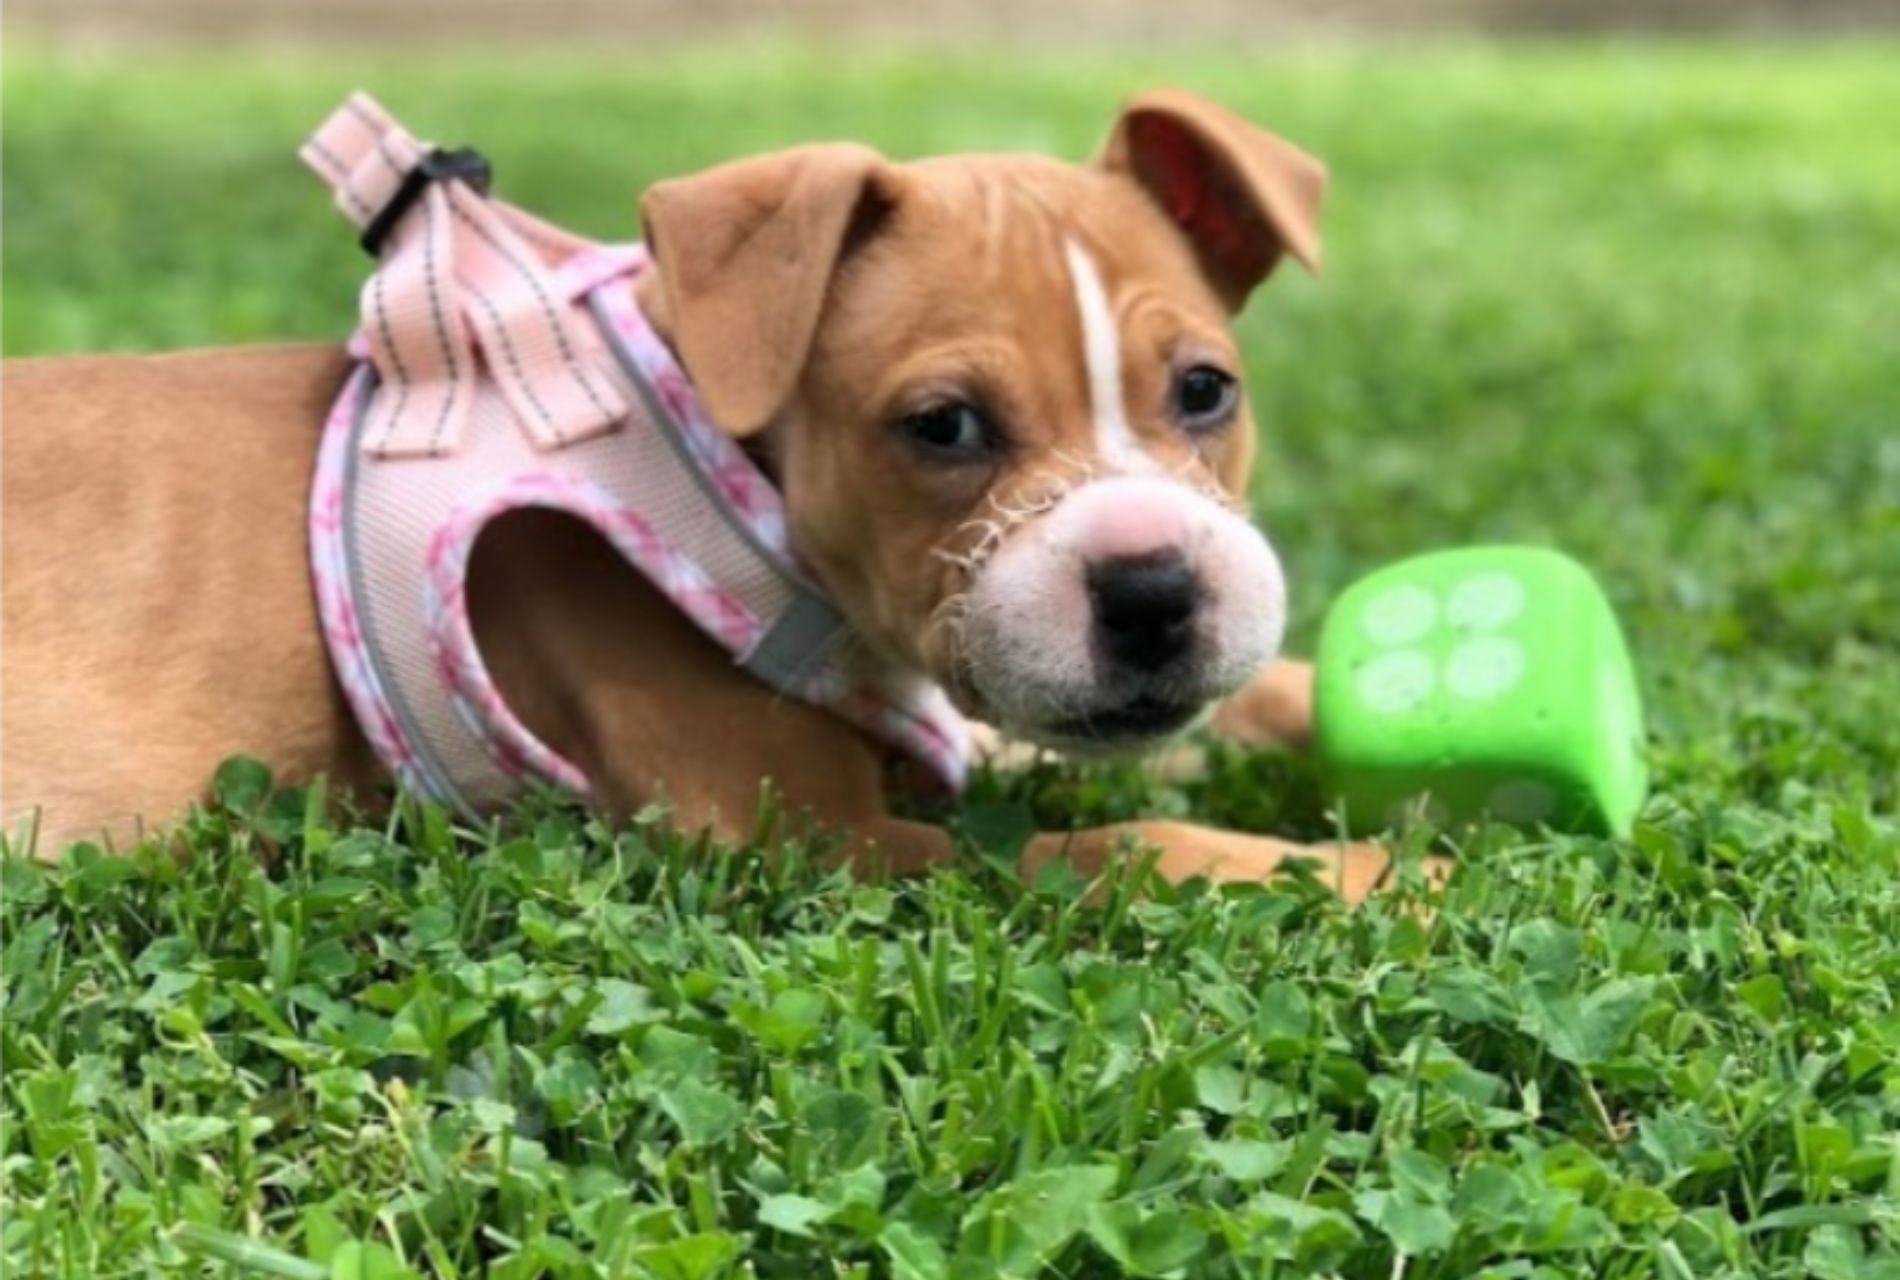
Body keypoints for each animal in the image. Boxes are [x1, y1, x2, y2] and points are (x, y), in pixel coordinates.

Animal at [0, 87, 1398, 896]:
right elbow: (1116, 846)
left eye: (1206, 391)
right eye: (943, 426)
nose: (1157, 590)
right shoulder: (811, 842)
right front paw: (1390, 870)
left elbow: (1228, 713)